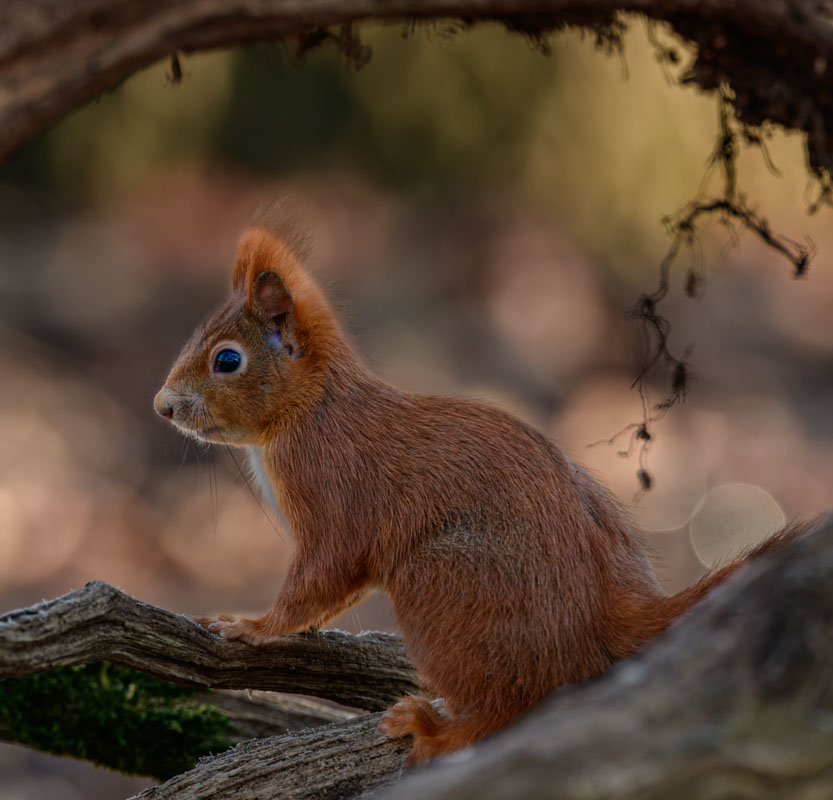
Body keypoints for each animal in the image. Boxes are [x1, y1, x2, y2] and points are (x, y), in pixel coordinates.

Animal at [153, 217, 808, 764]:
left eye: (228, 361)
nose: (162, 406)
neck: (310, 411)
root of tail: (605, 617)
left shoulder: (336, 492)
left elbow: (324, 576)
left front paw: (252, 625)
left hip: (444, 587)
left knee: (508, 708)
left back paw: (439, 731)